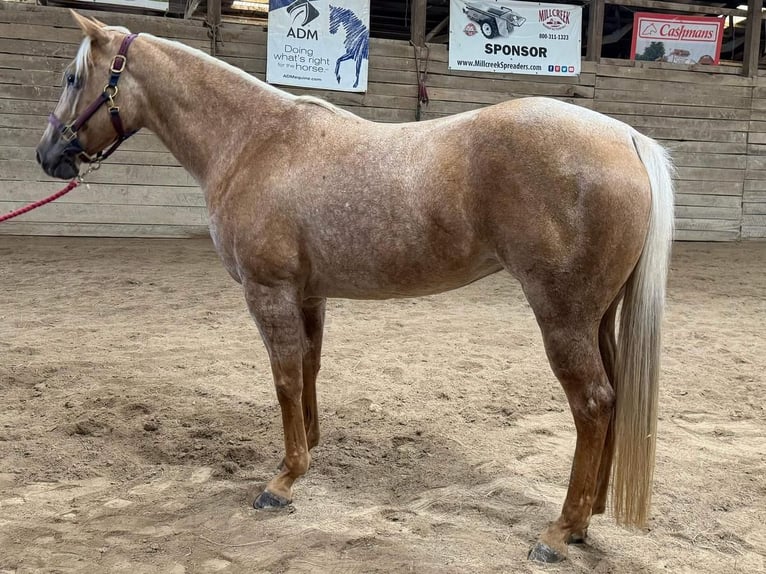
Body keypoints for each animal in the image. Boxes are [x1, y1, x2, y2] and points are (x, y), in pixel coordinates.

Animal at [37, 11, 672, 564]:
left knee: (593, 404)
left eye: (72, 77)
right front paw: (310, 450)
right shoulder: (308, 293)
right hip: (598, 317)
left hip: (563, 316)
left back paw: (560, 532)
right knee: (614, 399)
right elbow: (309, 369)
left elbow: (284, 378)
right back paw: (589, 519)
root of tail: (625, 138)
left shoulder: (267, 292)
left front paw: (282, 480)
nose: (48, 155)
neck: (255, 142)